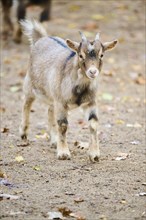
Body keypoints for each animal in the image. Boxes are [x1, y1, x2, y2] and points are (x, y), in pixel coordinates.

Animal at [19, 20, 117, 162]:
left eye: (102, 55)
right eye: (80, 55)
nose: (93, 72)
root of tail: (41, 38)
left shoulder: (91, 102)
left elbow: (93, 123)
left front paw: (94, 155)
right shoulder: (61, 102)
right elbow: (63, 125)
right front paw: (63, 153)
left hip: (52, 94)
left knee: (50, 110)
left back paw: (54, 140)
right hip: (30, 84)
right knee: (26, 104)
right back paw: (23, 133)